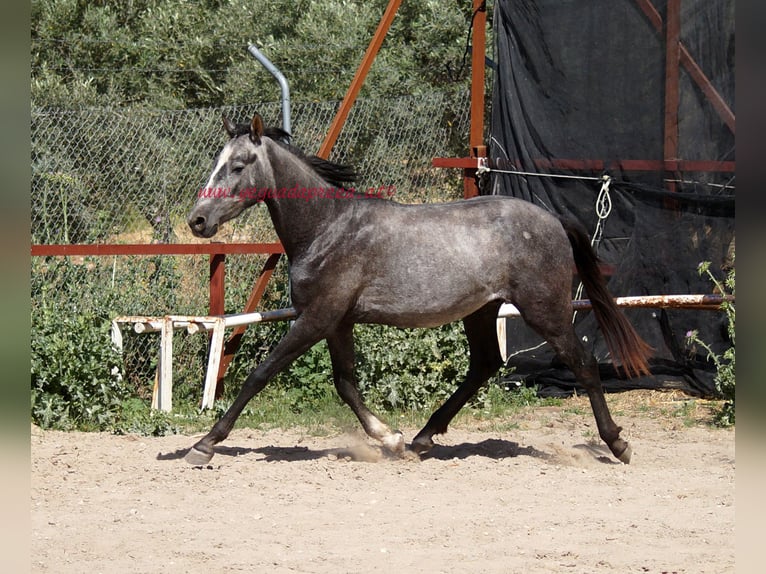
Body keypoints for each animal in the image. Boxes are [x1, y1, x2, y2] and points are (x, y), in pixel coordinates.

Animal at [186, 113, 656, 468]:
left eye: (240, 164)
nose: (197, 221)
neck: (326, 228)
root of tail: (554, 220)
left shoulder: (317, 317)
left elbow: (260, 374)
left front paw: (204, 444)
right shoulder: (337, 322)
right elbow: (346, 384)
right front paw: (390, 438)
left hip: (545, 310)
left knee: (583, 364)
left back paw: (618, 444)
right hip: (482, 311)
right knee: (485, 364)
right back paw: (422, 438)